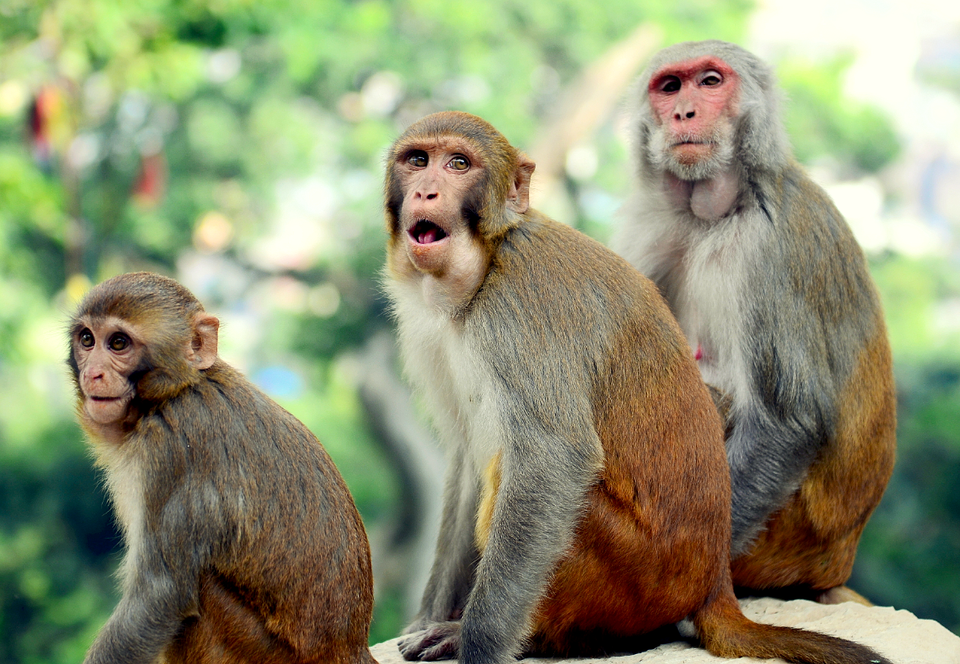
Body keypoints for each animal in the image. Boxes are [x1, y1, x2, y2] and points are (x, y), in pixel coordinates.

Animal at [69, 272, 377, 664]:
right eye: (87, 340)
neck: (174, 393)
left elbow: (158, 596)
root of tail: (350, 649)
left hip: (259, 650)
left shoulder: (172, 450)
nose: (93, 373)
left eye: (118, 343)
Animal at [383, 110, 891, 664]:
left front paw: (477, 644)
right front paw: (432, 615)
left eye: (458, 164)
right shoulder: (433, 335)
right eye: (417, 161)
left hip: (636, 575)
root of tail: (714, 583)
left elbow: (550, 460)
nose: (426, 191)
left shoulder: (521, 308)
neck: (483, 265)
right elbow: (468, 463)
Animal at [613, 40, 897, 604]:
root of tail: (839, 562)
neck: (716, 215)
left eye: (710, 81)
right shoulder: (652, 229)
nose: (684, 113)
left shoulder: (767, 248)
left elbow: (785, 422)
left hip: (786, 539)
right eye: (670, 87)